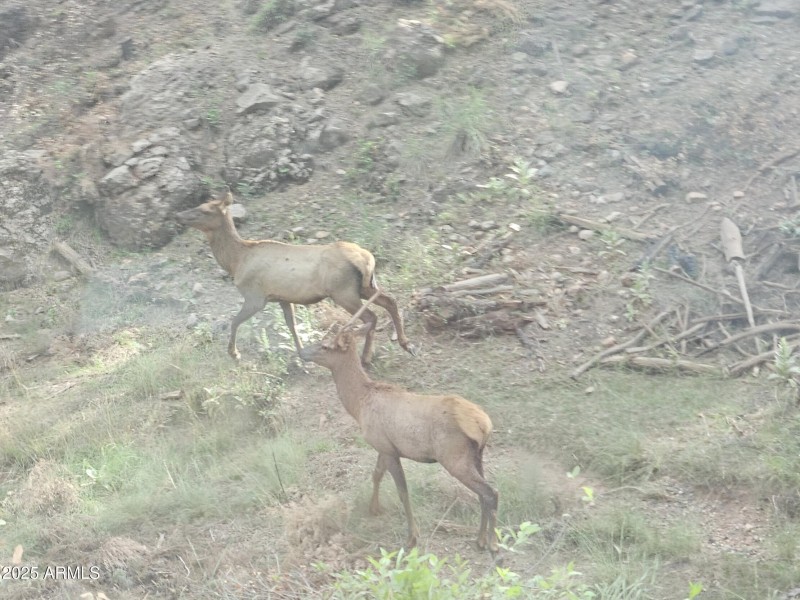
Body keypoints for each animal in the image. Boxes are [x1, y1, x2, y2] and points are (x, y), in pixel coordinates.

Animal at [175, 188, 413, 364]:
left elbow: (234, 321)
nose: (180, 216)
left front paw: (234, 353)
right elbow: (292, 325)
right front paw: (302, 353)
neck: (235, 261)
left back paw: (359, 352)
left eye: (205, 210)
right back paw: (404, 344)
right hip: (366, 286)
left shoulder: (255, 297)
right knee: (390, 302)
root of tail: (367, 259)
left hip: (343, 292)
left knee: (371, 317)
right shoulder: (282, 298)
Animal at [298, 295, 499, 554]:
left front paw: (412, 537)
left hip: (454, 457)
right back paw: (480, 539)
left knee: (490, 492)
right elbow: (376, 475)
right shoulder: (383, 446)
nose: (301, 351)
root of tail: (484, 425)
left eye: (324, 345)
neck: (359, 404)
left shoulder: (388, 448)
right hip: (477, 455)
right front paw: (374, 509)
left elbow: (402, 492)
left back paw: (492, 542)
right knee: (483, 493)